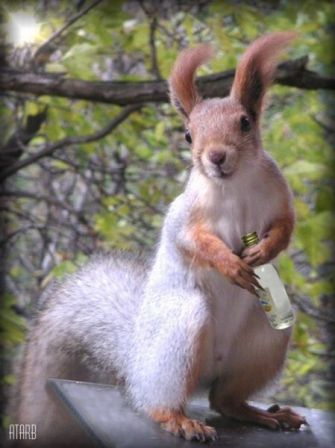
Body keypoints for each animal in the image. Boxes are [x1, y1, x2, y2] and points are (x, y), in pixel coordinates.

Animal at [12, 31, 308, 444]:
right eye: (188, 135)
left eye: (246, 123)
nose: (216, 157)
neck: (234, 185)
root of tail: (135, 361)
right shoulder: (184, 214)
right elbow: (192, 240)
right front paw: (230, 264)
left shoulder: (279, 195)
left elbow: (285, 226)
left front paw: (265, 250)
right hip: (181, 330)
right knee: (159, 401)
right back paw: (179, 419)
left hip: (266, 337)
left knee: (225, 400)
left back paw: (262, 414)